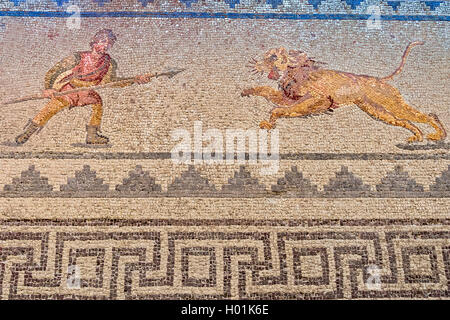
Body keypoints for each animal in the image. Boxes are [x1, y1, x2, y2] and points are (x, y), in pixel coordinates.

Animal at [241, 41, 444, 142]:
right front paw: (249, 90)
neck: (293, 70)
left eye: (273, 57)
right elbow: (268, 93)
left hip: (391, 102)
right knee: (405, 121)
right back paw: (417, 136)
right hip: (377, 111)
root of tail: (379, 79)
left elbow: (278, 109)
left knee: (428, 116)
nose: (257, 64)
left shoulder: (320, 100)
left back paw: (439, 135)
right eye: (266, 56)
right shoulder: (289, 98)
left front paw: (271, 119)